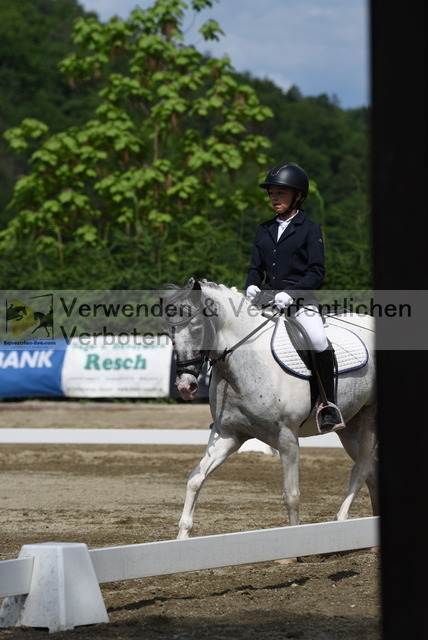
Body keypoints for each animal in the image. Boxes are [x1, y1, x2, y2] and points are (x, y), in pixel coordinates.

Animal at [161, 279, 377, 540]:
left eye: (196, 328)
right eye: (170, 333)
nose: (186, 386)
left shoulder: (287, 437)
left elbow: (291, 495)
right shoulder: (228, 434)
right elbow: (196, 479)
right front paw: (182, 538)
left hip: (370, 416)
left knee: (362, 469)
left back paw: (341, 520)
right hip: (349, 425)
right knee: (371, 469)